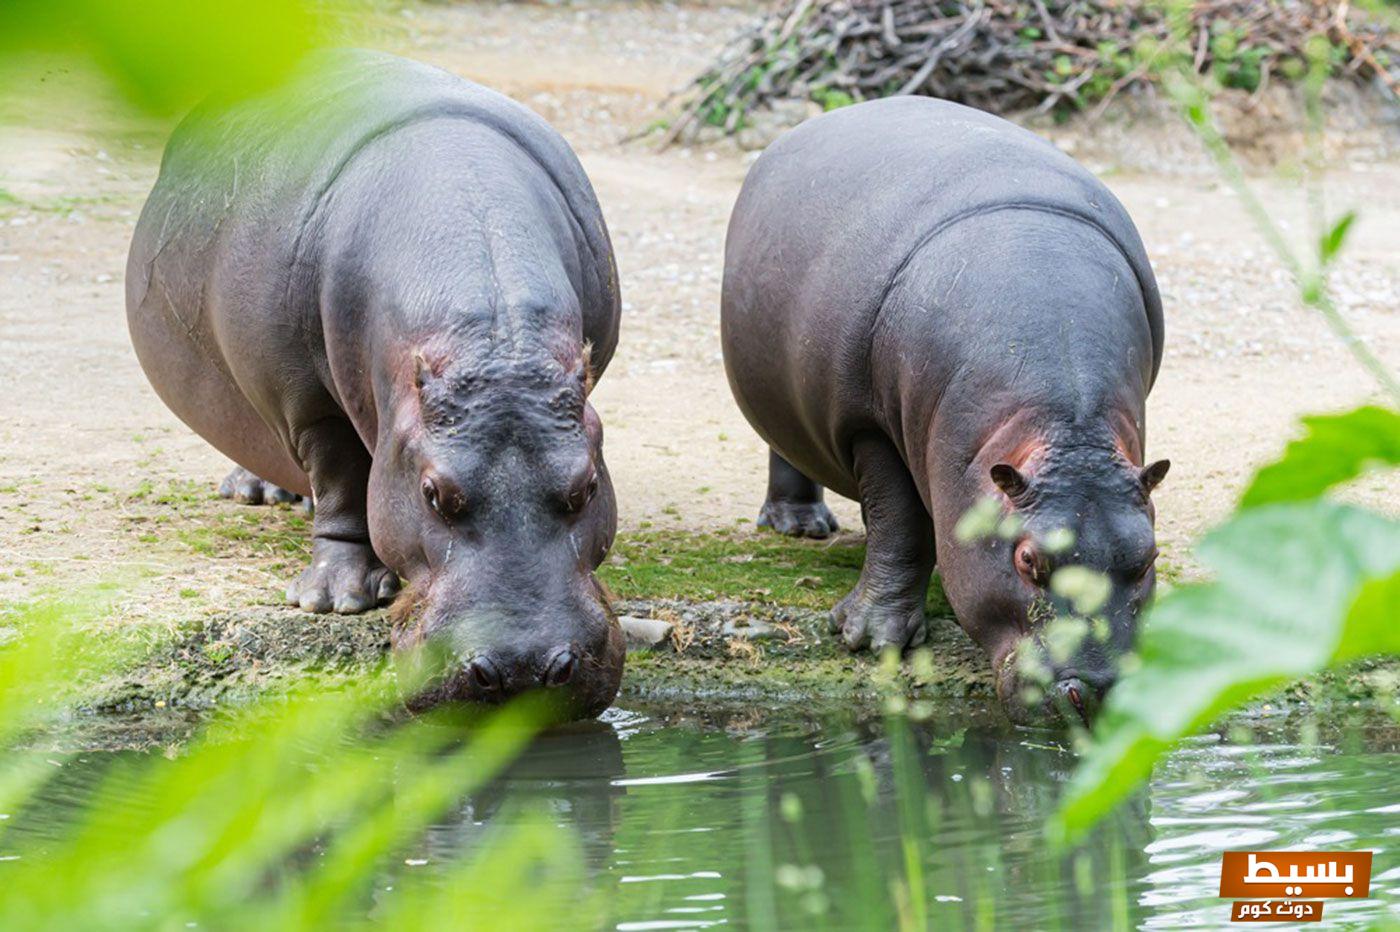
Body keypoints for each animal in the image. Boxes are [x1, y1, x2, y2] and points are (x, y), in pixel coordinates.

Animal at [127, 50, 624, 713]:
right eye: (433, 493)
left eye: (588, 485)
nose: (524, 670)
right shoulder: (307, 405)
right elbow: (342, 479)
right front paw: (335, 598)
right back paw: (259, 492)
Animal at [722, 97, 1170, 722]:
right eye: (1027, 560)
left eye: (1148, 557)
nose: (1101, 691)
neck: (1063, 426)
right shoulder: (870, 429)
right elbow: (900, 519)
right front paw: (872, 640)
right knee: (788, 452)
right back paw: (801, 527)